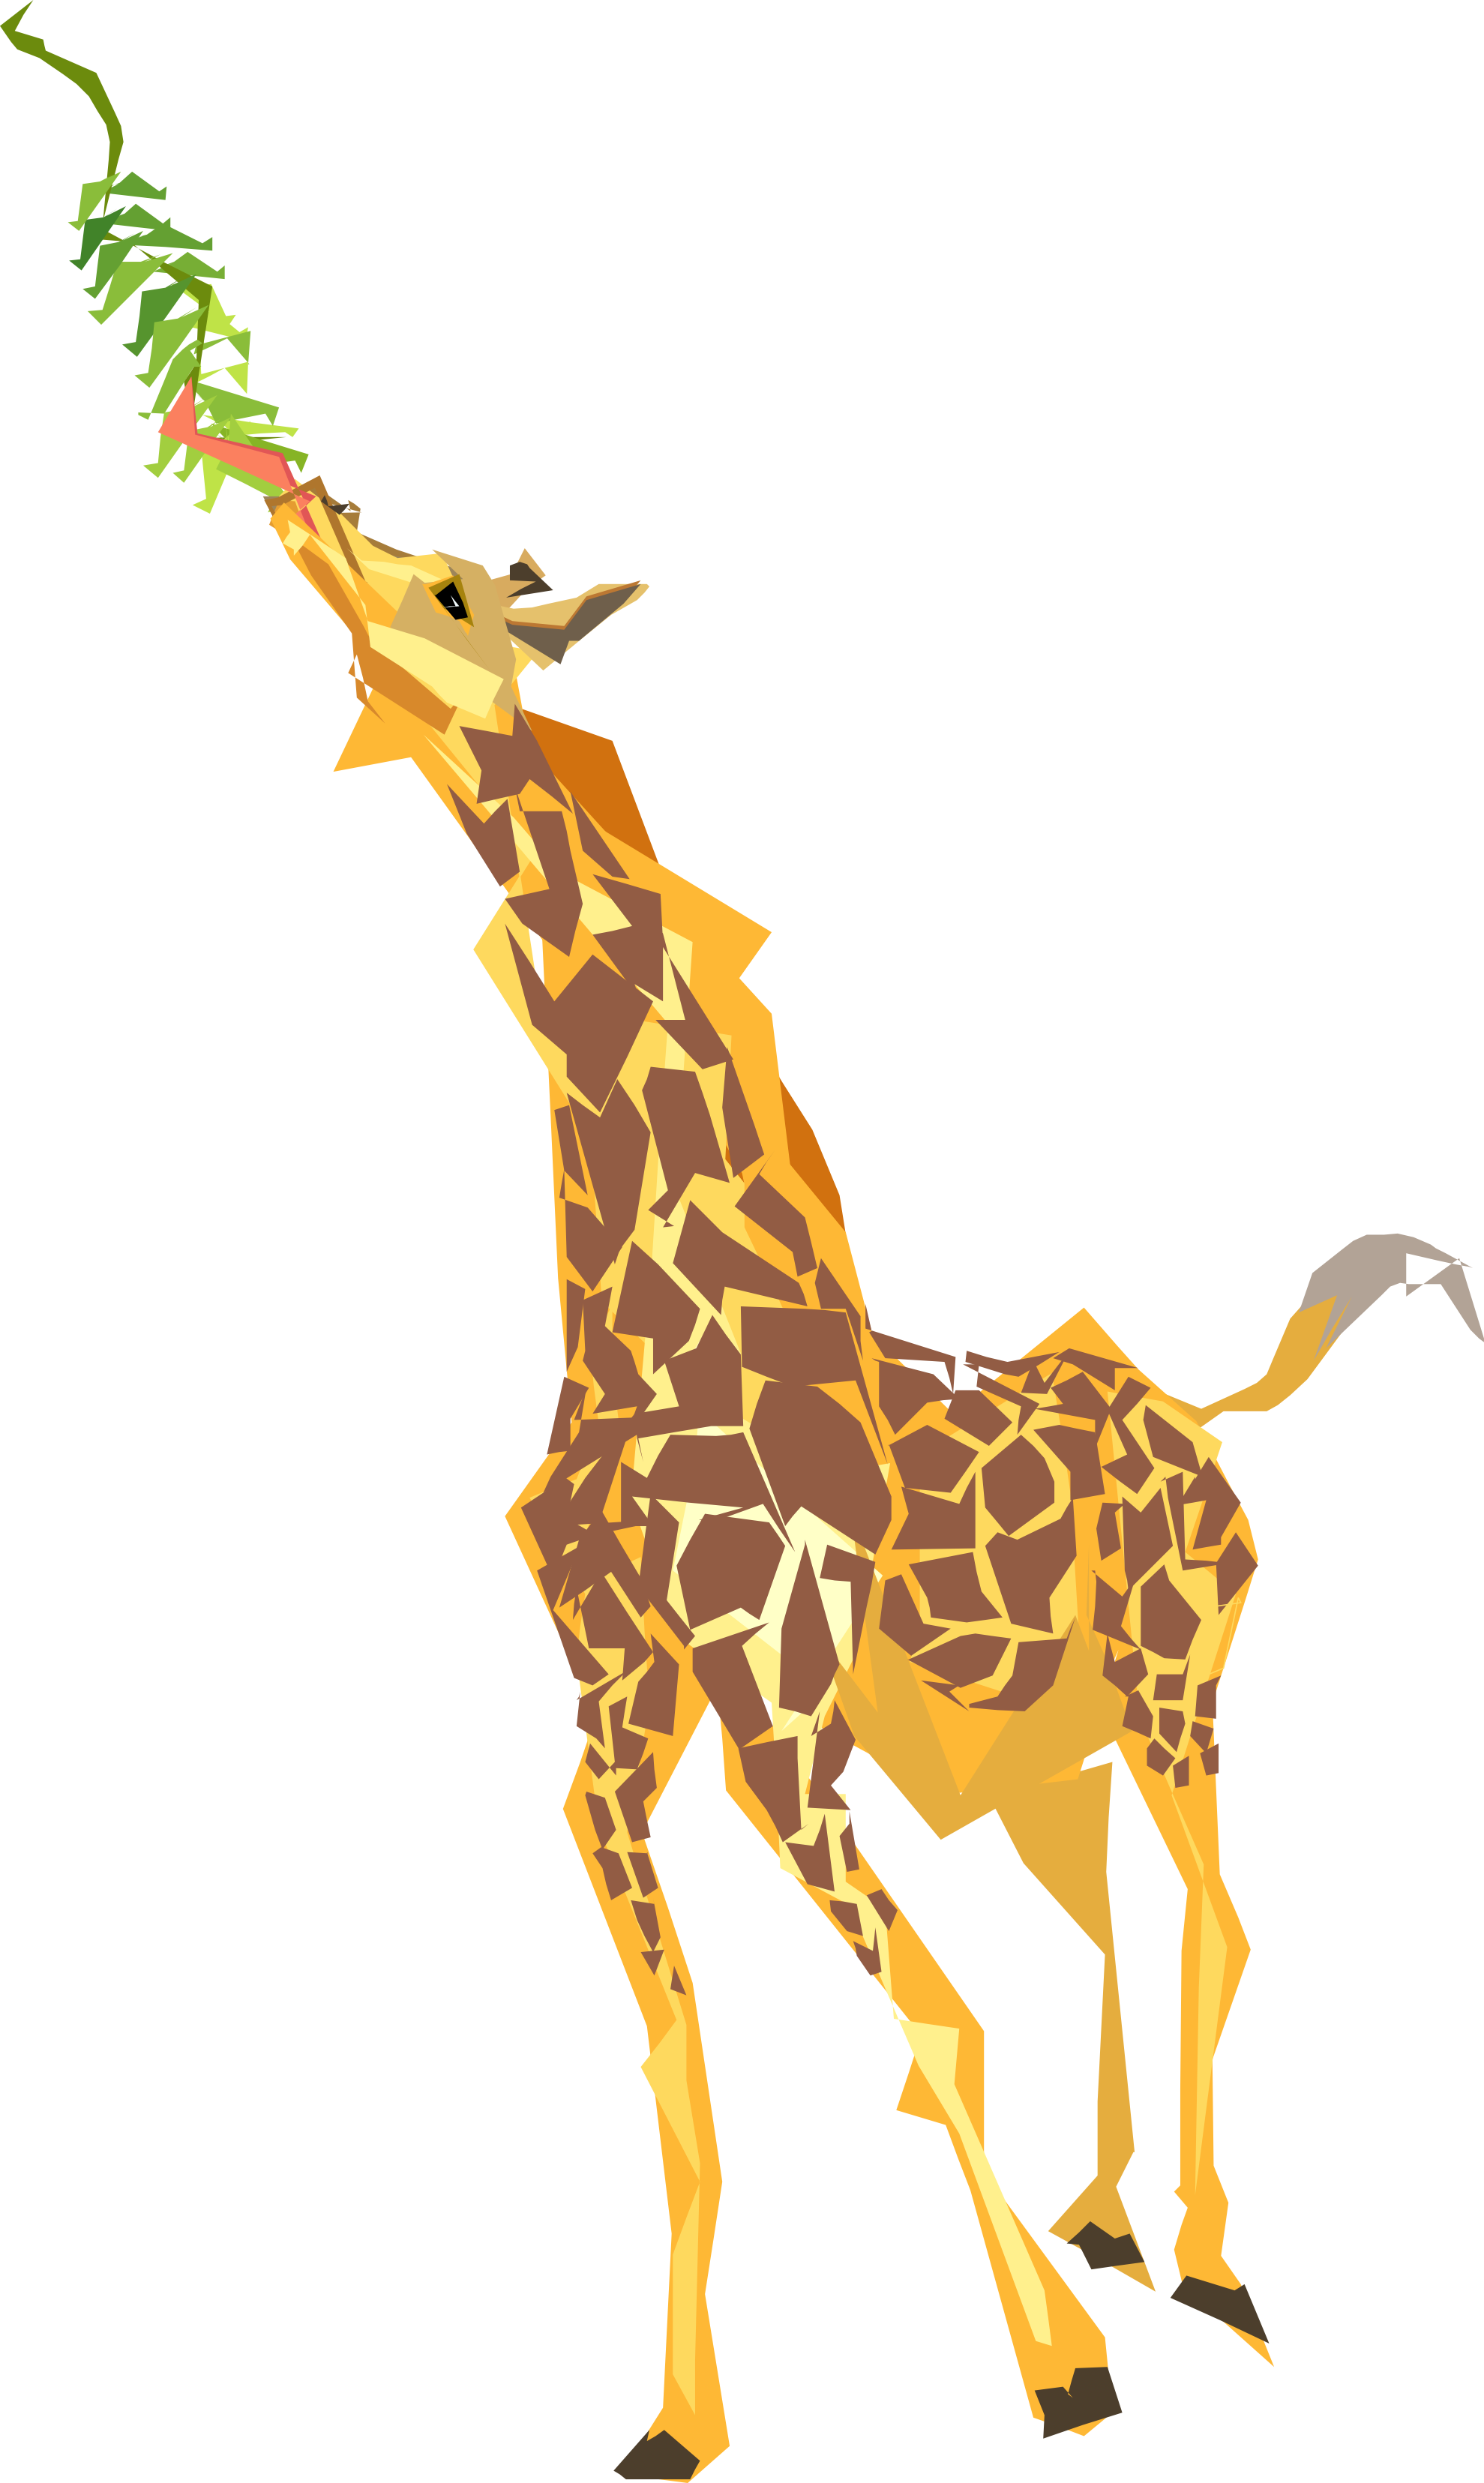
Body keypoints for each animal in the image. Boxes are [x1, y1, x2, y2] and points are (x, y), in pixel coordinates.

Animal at [7, 15, 1481, 2478]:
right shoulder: (613, 1725)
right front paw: (678, 2419)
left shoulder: (772, 1709)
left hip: (1172, 1681)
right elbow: (685, 2073)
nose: (278, 468)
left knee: (1215, 1926)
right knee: (1099, 1924)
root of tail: (1196, 1402)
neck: (646, 1304)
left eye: (460, 586)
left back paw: (1200, 2268)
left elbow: (924, 2028)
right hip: (1034, 1741)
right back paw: (1106, 2224)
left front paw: (1058, 2383)